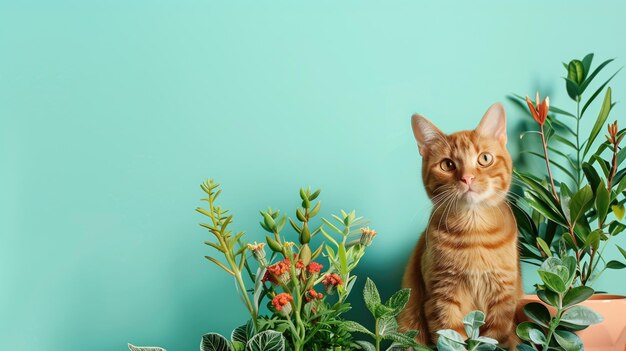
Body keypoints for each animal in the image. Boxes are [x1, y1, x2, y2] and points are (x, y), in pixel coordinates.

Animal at [394, 103, 520, 348]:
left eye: (484, 159)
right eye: (447, 164)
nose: (467, 178)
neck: (474, 232)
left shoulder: (503, 301)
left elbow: (492, 339)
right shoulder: (441, 298)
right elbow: (451, 339)